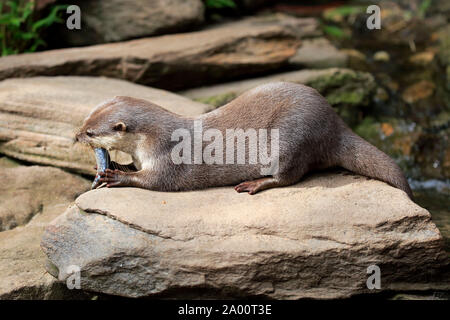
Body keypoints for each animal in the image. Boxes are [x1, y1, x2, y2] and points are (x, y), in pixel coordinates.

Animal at [75, 82, 414, 198]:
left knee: (289, 176)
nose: (76, 135)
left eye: (91, 131)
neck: (151, 140)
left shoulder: (167, 156)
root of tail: (336, 124)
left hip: (292, 135)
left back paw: (254, 184)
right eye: (85, 120)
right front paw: (115, 165)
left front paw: (116, 176)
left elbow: (156, 181)